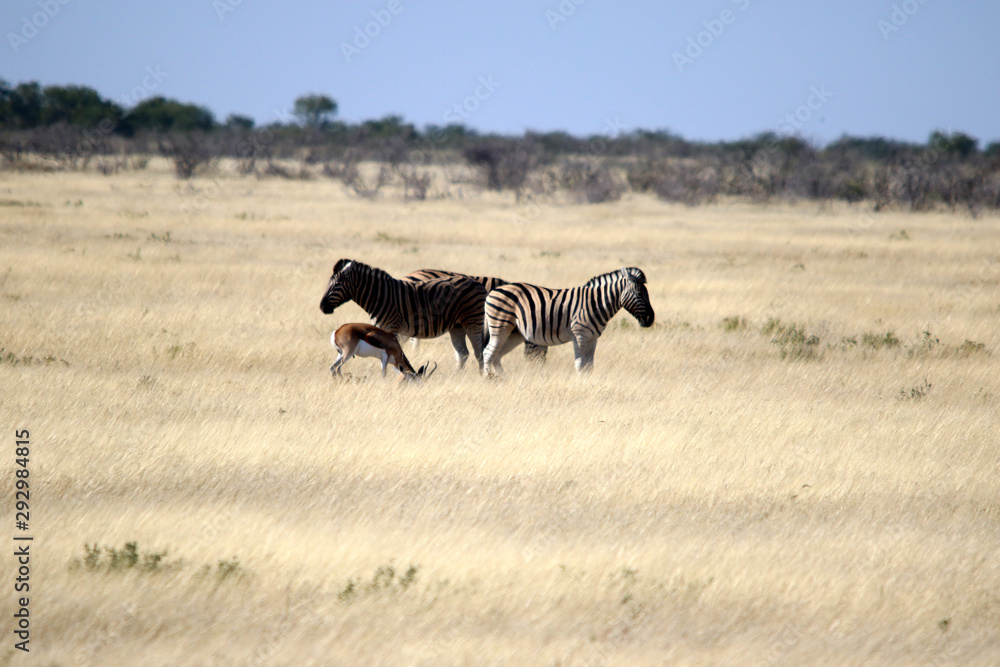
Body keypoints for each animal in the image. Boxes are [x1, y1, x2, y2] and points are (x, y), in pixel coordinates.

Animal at [320, 260, 488, 370]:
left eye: (337, 284)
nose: (322, 307)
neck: (380, 297)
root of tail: (478, 284)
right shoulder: (380, 329)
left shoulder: (391, 327)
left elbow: (392, 353)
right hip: (457, 326)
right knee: (463, 353)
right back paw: (457, 375)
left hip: (473, 322)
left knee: (480, 352)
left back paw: (483, 378)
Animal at [484, 270, 656, 376]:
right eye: (639, 294)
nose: (651, 319)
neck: (596, 303)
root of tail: (494, 290)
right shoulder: (580, 335)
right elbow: (580, 364)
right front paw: (581, 385)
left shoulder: (593, 338)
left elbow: (589, 366)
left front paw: (588, 383)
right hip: (500, 326)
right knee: (488, 353)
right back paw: (489, 379)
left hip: (514, 333)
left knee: (496, 355)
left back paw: (504, 379)